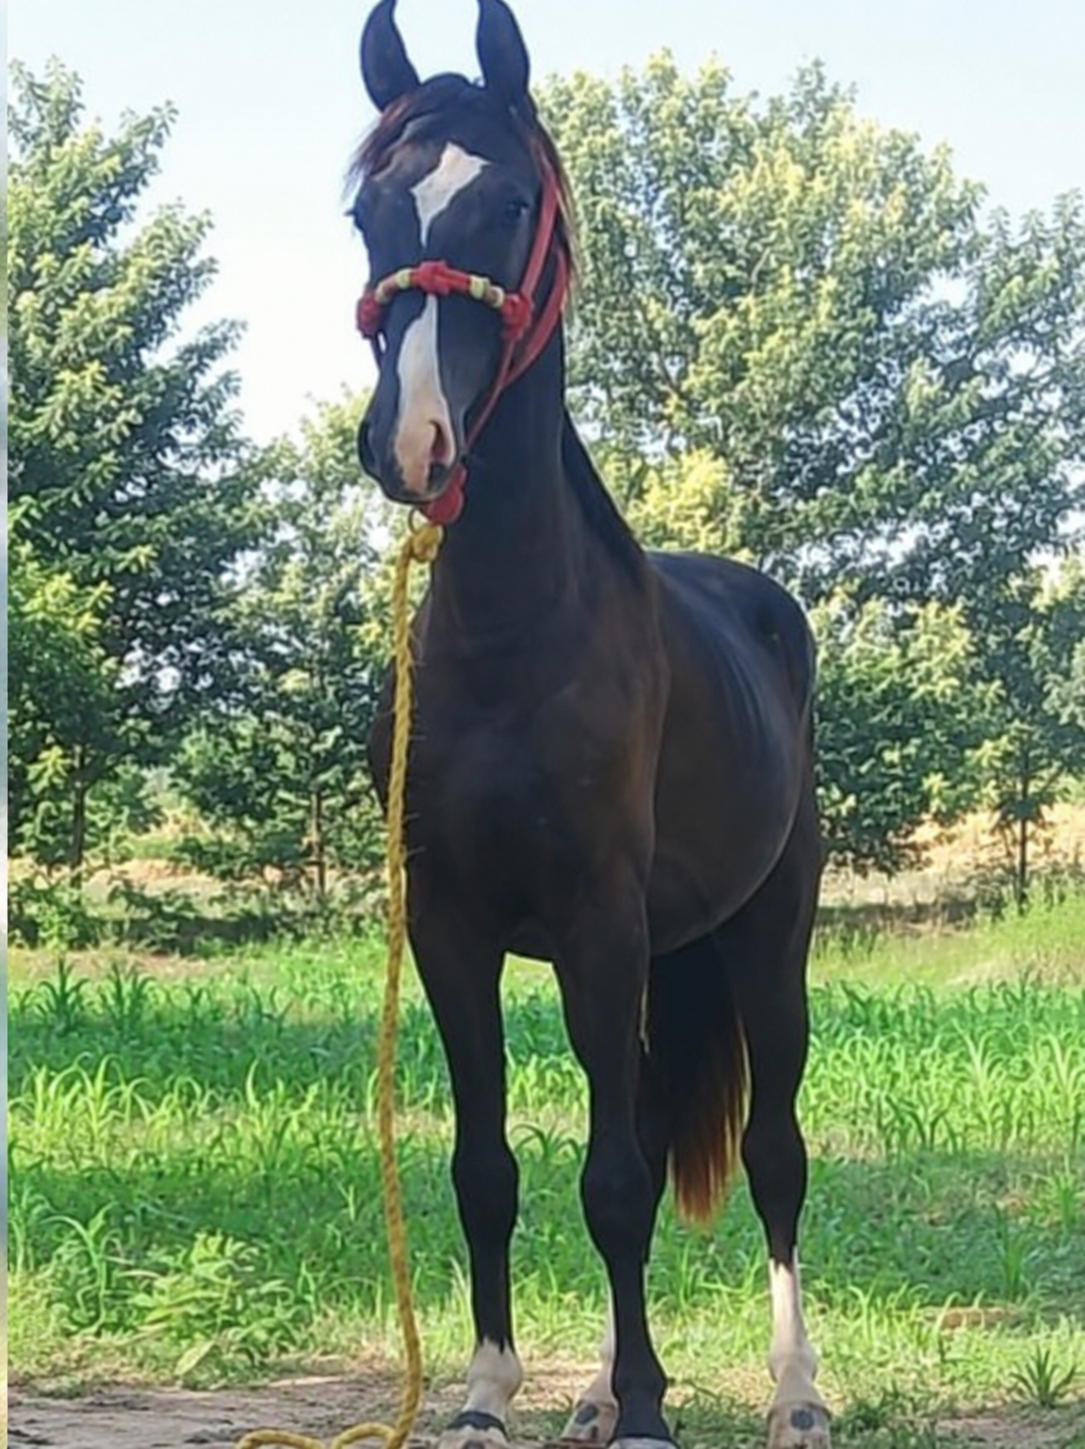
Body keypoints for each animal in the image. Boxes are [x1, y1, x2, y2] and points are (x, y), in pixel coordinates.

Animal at [351, 4, 829, 1447]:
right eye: (368, 212)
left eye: (508, 203)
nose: (410, 442)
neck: (514, 643)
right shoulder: (451, 930)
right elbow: (485, 1167)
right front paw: (489, 1393)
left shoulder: (597, 925)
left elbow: (614, 1183)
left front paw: (646, 1414)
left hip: (762, 936)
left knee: (774, 1155)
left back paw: (795, 1393)